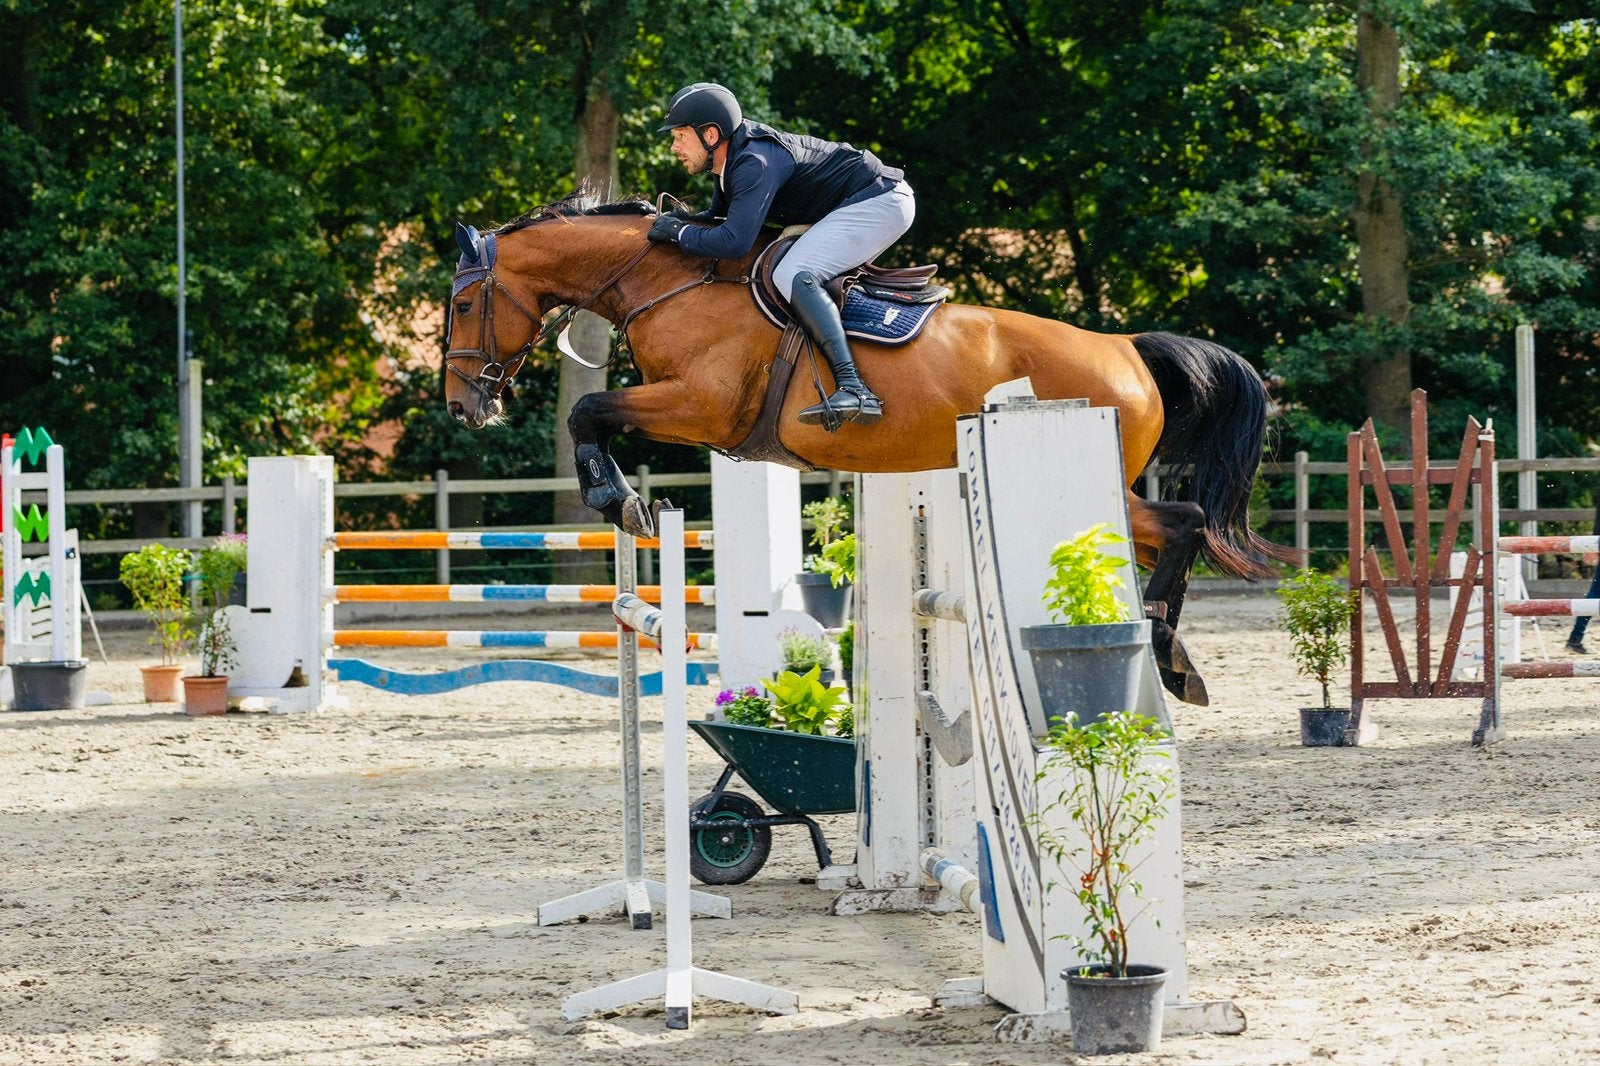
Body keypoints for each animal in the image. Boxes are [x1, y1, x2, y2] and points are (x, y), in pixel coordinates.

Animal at [442, 191, 1299, 705]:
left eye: (460, 303)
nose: (462, 405)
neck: (669, 280)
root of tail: (1125, 346)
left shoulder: (702, 409)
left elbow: (588, 409)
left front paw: (617, 500)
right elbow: (594, 413)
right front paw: (622, 499)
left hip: (1090, 477)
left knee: (1185, 522)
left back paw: (1163, 647)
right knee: (1173, 530)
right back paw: (1174, 658)